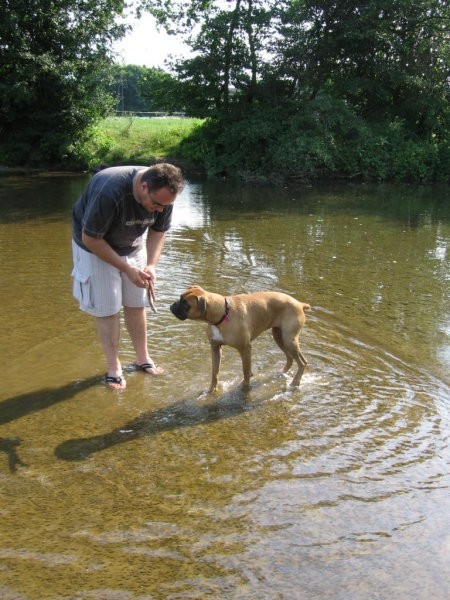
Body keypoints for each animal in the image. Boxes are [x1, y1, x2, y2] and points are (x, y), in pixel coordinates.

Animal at [169, 286, 310, 394]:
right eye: (180, 297)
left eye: (186, 304)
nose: (172, 305)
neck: (223, 314)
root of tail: (299, 303)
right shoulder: (215, 349)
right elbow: (215, 372)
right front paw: (211, 390)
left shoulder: (245, 349)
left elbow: (246, 371)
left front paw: (245, 388)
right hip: (279, 336)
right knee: (293, 359)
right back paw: (282, 374)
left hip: (289, 339)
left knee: (302, 363)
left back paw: (295, 383)